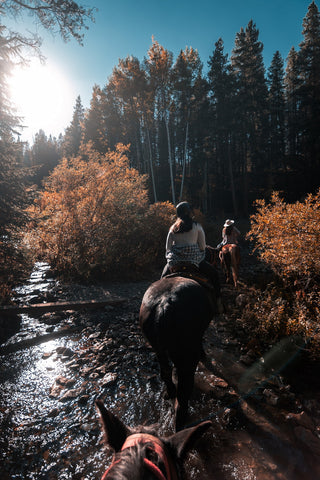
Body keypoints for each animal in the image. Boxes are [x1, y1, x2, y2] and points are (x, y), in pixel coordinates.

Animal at [139, 274, 216, 432]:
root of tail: (164, 304)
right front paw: (203, 354)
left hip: (159, 349)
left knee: (166, 372)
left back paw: (169, 393)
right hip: (187, 358)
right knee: (182, 397)